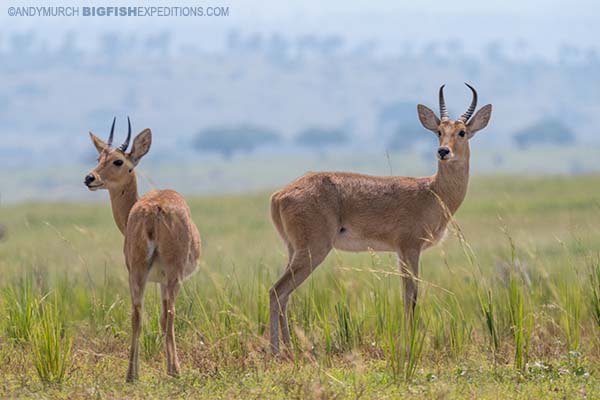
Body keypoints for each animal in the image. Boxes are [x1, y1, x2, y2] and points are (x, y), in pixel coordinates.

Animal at [84, 118, 202, 382]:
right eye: (99, 157)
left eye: (117, 160)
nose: (90, 178)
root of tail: (154, 209)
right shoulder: (163, 280)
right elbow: (164, 317)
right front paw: (171, 367)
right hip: (171, 274)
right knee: (169, 314)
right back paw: (174, 370)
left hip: (137, 272)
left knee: (136, 314)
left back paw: (131, 374)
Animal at [268, 83, 492, 354]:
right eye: (439, 131)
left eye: (461, 132)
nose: (443, 151)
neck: (432, 191)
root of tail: (279, 194)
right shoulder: (409, 248)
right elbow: (411, 295)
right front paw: (409, 344)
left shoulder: (401, 252)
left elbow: (408, 294)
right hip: (313, 251)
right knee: (276, 291)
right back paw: (277, 352)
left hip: (294, 250)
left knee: (284, 295)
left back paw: (290, 351)